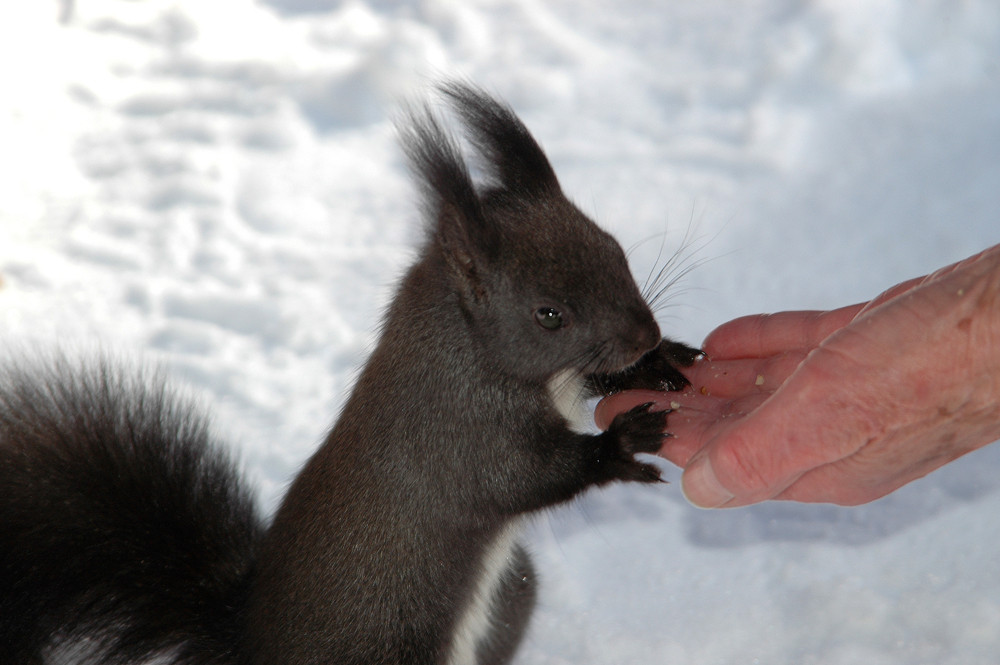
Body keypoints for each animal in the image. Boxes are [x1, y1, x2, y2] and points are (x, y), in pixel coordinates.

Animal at [0, 83, 704, 664]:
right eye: (549, 314)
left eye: (613, 247)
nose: (644, 334)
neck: (475, 349)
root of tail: (246, 646)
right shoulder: (458, 430)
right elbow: (521, 476)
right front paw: (622, 444)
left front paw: (659, 364)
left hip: (513, 594)